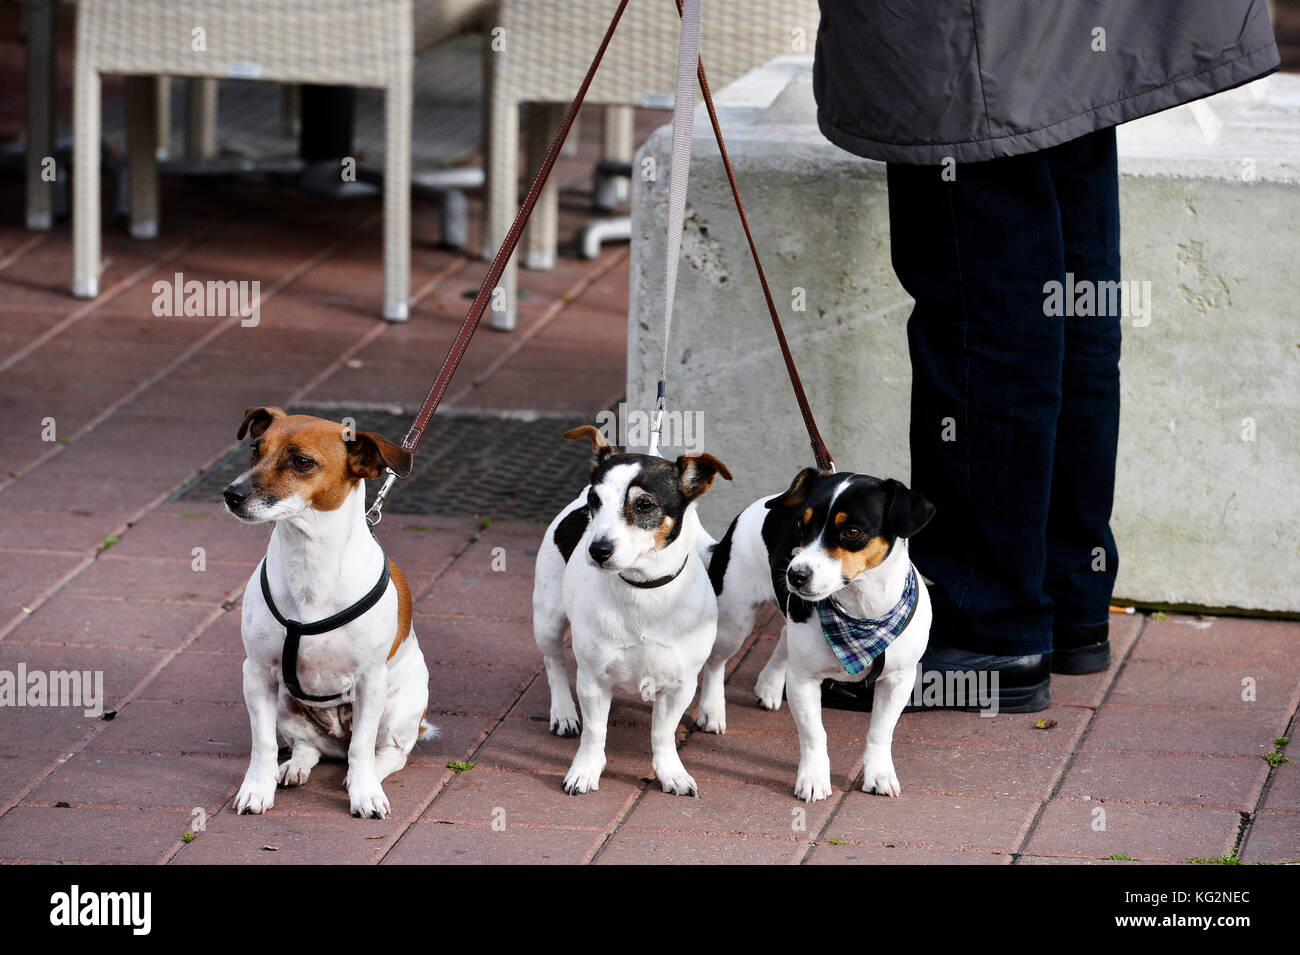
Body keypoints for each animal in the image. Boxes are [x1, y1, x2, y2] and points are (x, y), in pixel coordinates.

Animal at [219, 407, 431, 815]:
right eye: (254, 450)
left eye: (302, 462)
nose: (231, 494)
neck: (309, 561)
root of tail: (336, 740)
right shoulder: (257, 674)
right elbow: (262, 744)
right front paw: (256, 789)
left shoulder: (370, 681)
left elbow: (363, 748)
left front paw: (364, 794)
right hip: (286, 704)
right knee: (308, 747)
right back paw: (292, 767)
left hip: (396, 710)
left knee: (385, 753)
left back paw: (363, 775)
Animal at [530, 428, 733, 795]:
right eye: (595, 502)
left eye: (644, 505)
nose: (597, 549)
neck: (643, 590)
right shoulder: (593, 680)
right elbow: (595, 732)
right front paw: (585, 771)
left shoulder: (680, 685)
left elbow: (663, 733)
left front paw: (671, 773)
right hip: (548, 618)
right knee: (554, 661)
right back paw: (563, 712)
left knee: (715, 666)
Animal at [702, 467, 935, 800]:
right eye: (801, 525)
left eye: (852, 531)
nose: (795, 575)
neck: (861, 614)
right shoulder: (804, 680)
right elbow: (814, 734)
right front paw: (813, 779)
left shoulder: (898, 680)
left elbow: (880, 731)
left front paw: (879, 774)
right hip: (734, 622)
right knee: (715, 663)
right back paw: (712, 711)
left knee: (783, 639)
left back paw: (769, 686)